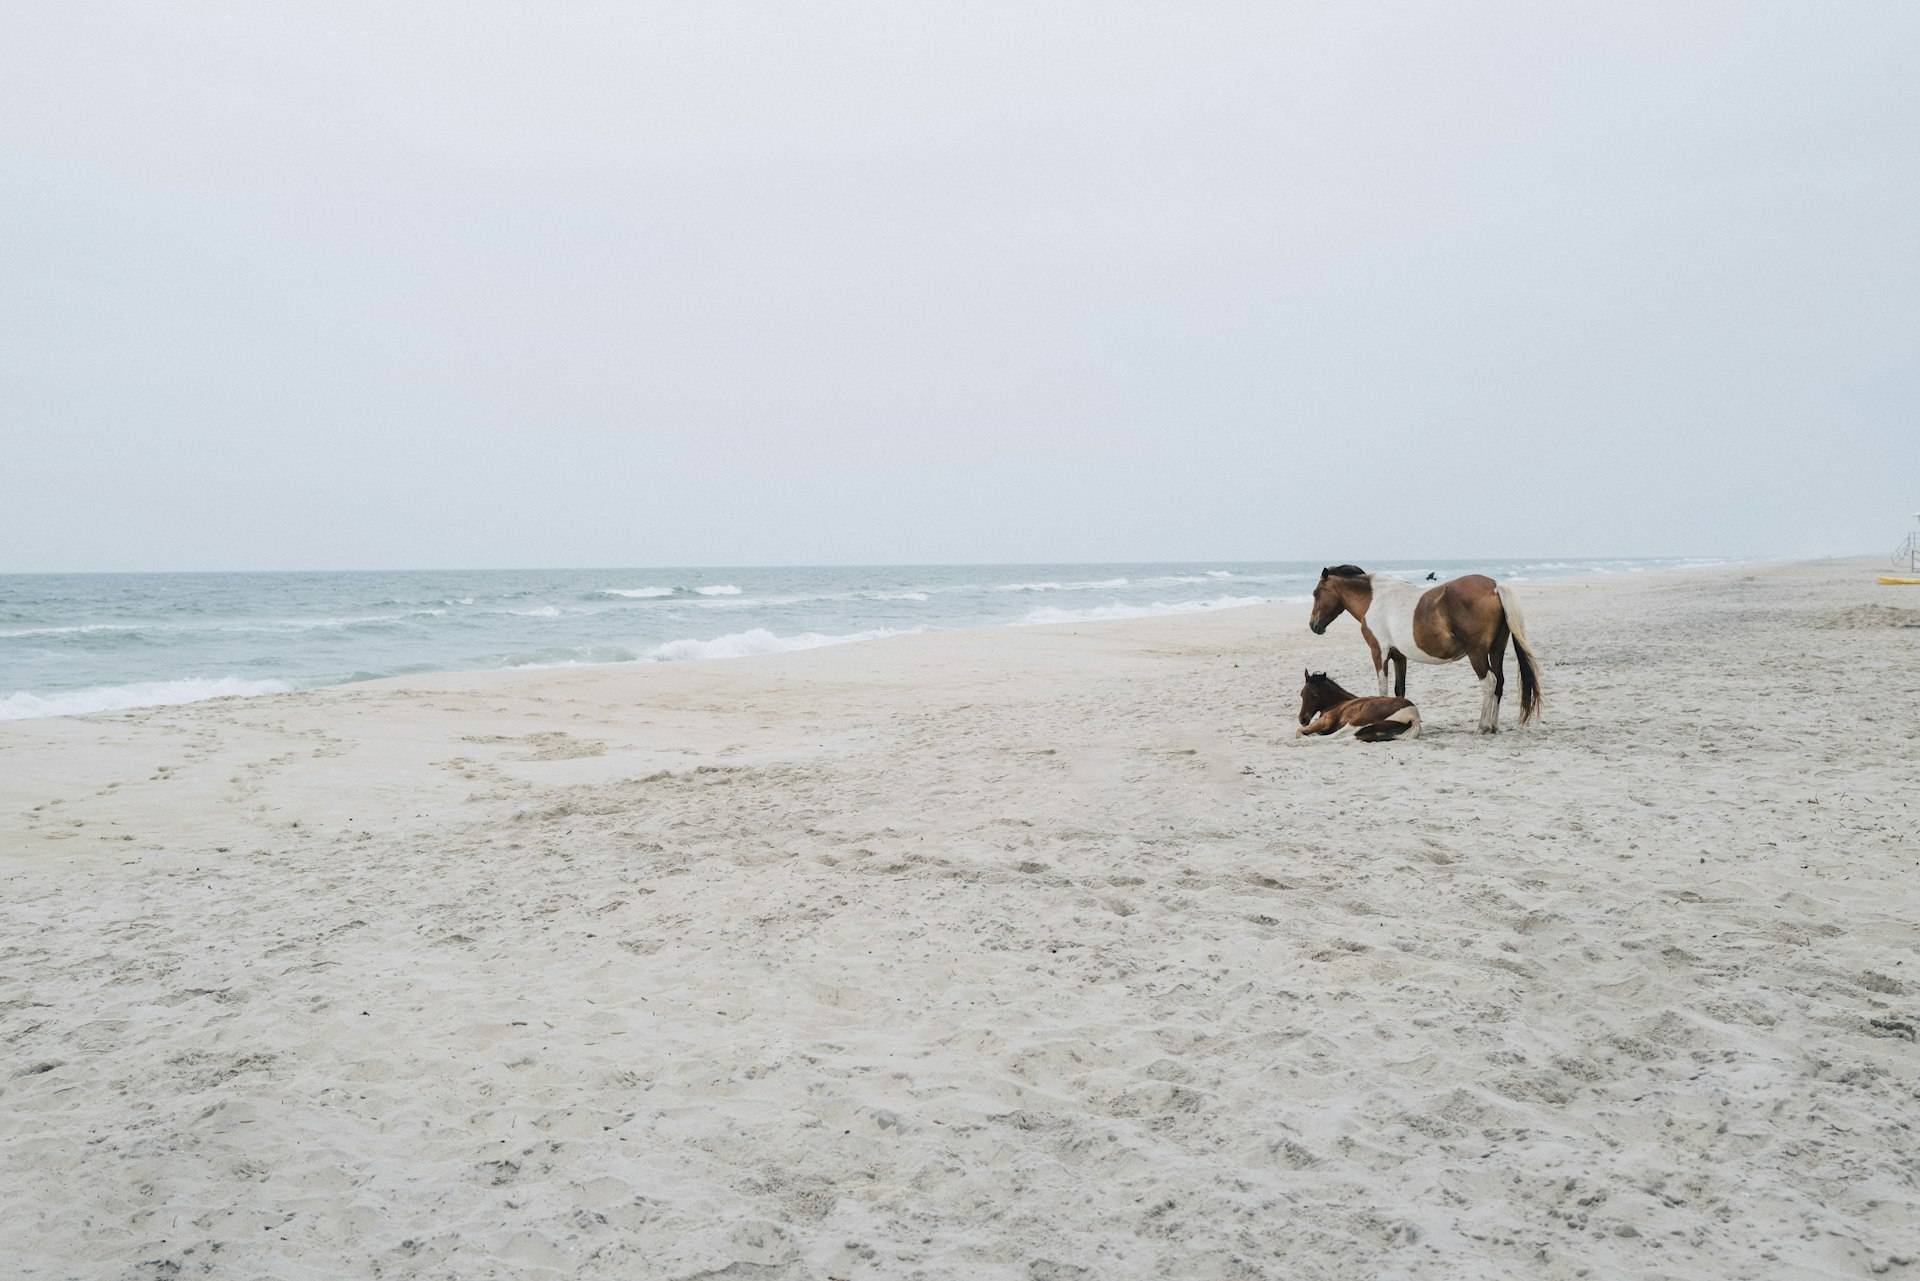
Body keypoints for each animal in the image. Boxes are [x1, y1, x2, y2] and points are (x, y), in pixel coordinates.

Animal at [1307, 565, 1542, 733]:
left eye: (1316, 593)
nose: (1314, 625)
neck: (1374, 599)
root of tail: (1494, 586)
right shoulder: (1399, 657)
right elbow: (1399, 690)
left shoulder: (1379, 653)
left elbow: (1382, 689)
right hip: (1496, 650)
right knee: (1499, 682)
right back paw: (1493, 726)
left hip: (1477, 654)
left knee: (1489, 682)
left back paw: (1483, 726)